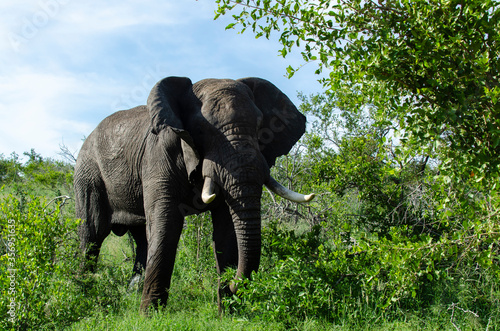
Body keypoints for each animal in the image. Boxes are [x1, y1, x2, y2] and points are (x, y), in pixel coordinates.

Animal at [74, 76, 314, 312]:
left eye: (259, 126)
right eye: (201, 129)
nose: (234, 283)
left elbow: (226, 229)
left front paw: (228, 312)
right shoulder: (158, 155)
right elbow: (167, 223)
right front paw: (149, 315)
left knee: (140, 237)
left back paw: (130, 292)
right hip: (88, 174)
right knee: (92, 233)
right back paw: (83, 294)